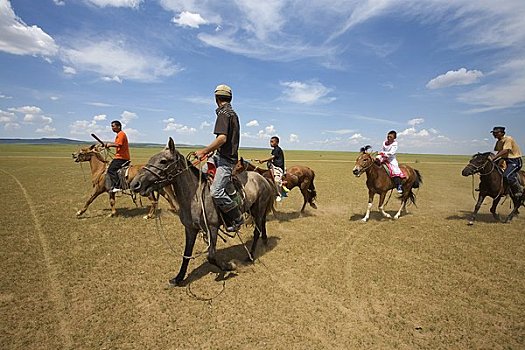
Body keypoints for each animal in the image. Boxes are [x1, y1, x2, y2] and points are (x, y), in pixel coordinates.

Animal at [129, 138, 276, 286]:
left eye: (163, 161)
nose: (135, 184)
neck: (194, 197)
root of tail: (262, 178)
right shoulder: (190, 229)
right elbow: (186, 254)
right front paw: (178, 278)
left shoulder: (212, 228)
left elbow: (211, 256)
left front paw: (230, 266)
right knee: (262, 225)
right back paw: (264, 241)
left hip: (258, 210)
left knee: (257, 231)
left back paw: (250, 256)